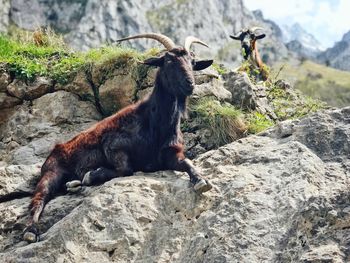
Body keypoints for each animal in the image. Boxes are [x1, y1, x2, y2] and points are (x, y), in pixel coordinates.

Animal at [23, 33, 213, 243]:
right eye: (169, 61)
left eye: (193, 62)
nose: (190, 84)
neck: (154, 123)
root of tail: (57, 148)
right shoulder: (112, 145)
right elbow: (125, 169)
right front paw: (91, 175)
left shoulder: (170, 153)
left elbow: (186, 162)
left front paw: (201, 180)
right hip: (52, 171)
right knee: (39, 198)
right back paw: (31, 231)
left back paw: (73, 184)